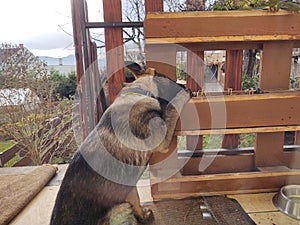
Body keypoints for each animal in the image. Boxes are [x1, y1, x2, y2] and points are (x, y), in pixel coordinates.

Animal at [50, 62, 191, 225]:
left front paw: (142, 215)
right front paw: (184, 94)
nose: (183, 84)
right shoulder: (163, 139)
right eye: (169, 79)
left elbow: (136, 198)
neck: (140, 91)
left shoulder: (128, 185)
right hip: (118, 209)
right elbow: (173, 107)